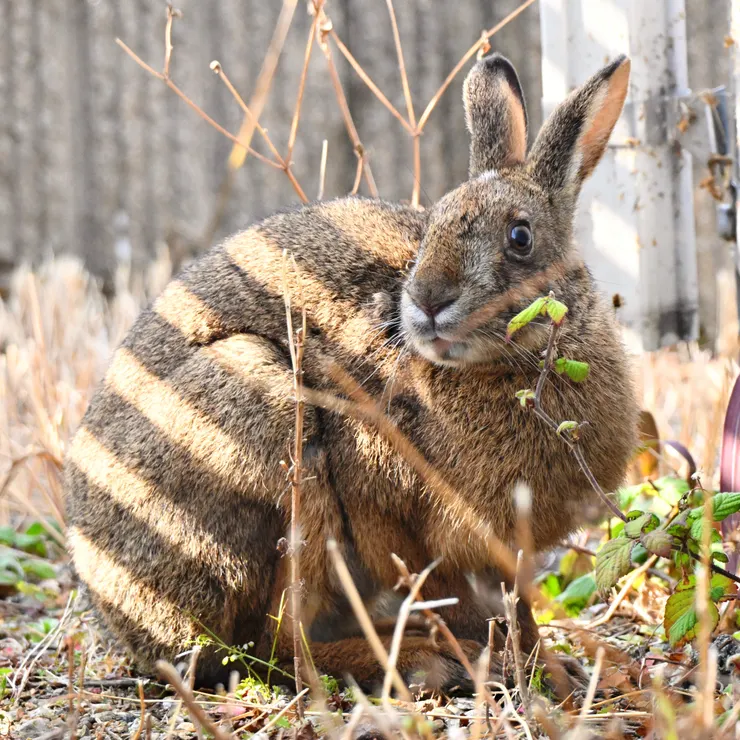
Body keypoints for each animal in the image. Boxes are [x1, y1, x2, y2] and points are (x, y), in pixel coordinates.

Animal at [65, 53, 636, 692]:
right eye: (430, 230)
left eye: (520, 237)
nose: (427, 301)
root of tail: (126, 616)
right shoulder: (393, 516)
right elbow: (456, 596)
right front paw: (513, 666)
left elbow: (516, 610)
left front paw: (558, 669)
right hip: (273, 435)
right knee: (280, 648)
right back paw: (417, 658)